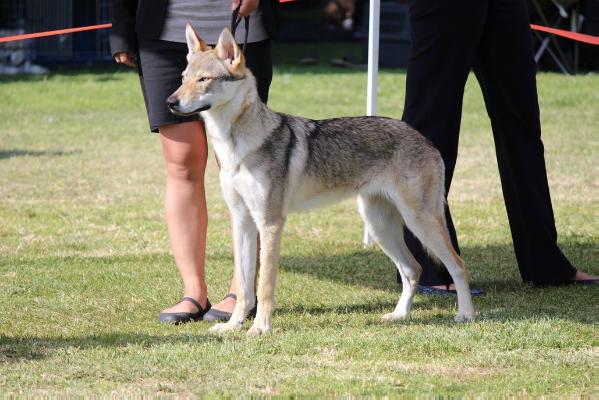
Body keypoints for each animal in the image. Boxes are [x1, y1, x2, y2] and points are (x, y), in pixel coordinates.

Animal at [166, 25, 476, 334]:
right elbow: (244, 287)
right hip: (380, 227)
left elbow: (264, 286)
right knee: (413, 269)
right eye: (183, 78)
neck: (235, 146)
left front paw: (260, 328)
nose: (170, 103)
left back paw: (466, 314)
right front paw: (232, 326)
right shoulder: (242, 221)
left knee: (458, 265)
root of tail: (424, 138)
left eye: (204, 79)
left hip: (419, 222)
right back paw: (399, 315)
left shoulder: (270, 223)